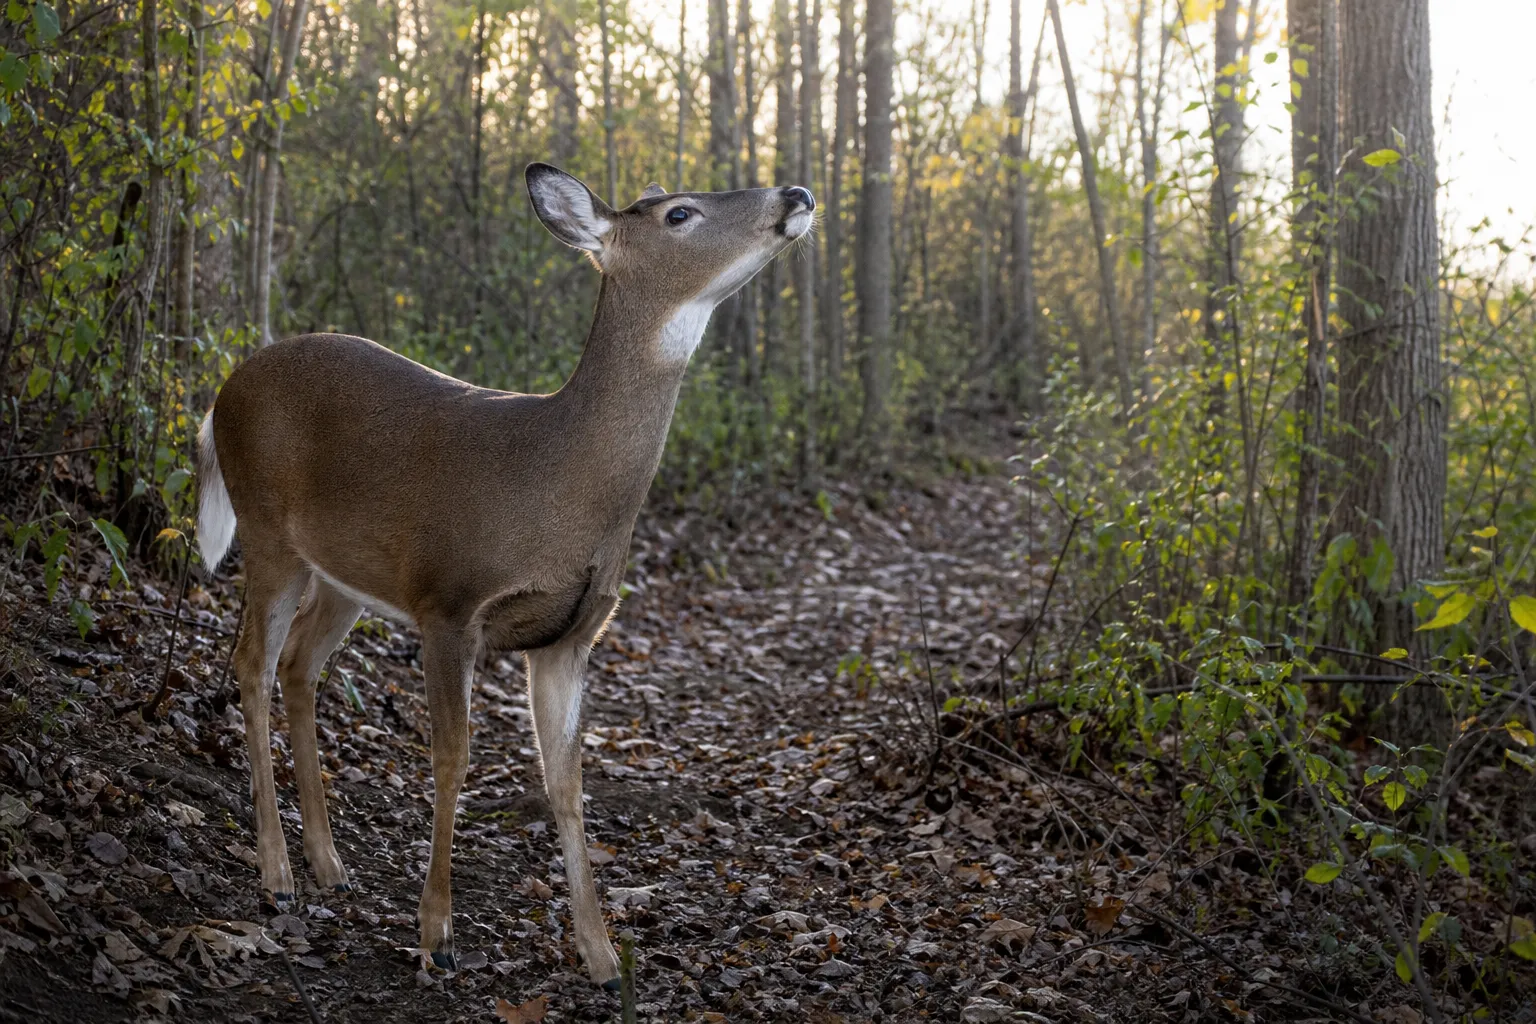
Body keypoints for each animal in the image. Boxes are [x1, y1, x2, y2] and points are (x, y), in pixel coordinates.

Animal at [195, 163, 815, 987]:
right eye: (679, 213)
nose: (797, 195)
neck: (557, 480)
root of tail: (219, 393)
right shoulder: (448, 602)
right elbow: (453, 758)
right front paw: (436, 934)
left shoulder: (570, 635)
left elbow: (568, 781)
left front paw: (602, 955)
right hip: (268, 534)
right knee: (251, 664)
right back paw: (276, 875)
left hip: (344, 575)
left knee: (297, 665)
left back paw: (329, 865)